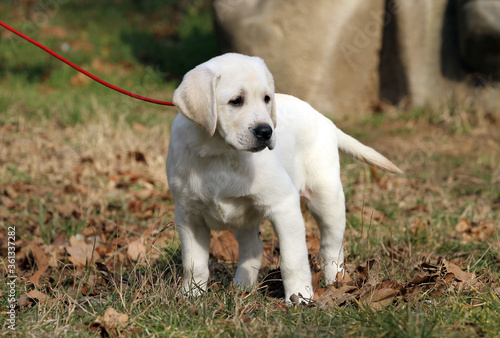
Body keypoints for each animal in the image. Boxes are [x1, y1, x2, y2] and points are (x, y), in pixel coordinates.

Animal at [166, 53, 400, 304]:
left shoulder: (284, 205)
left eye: (267, 98)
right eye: (236, 101)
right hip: (243, 216)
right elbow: (194, 263)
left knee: (331, 247)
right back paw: (242, 287)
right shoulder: (188, 215)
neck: (219, 152)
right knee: (253, 248)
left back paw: (334, 282)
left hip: (327, 198)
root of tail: (323, 118)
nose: (266, 131)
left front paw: (300, 297)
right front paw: (191, 296)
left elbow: (292, 259)